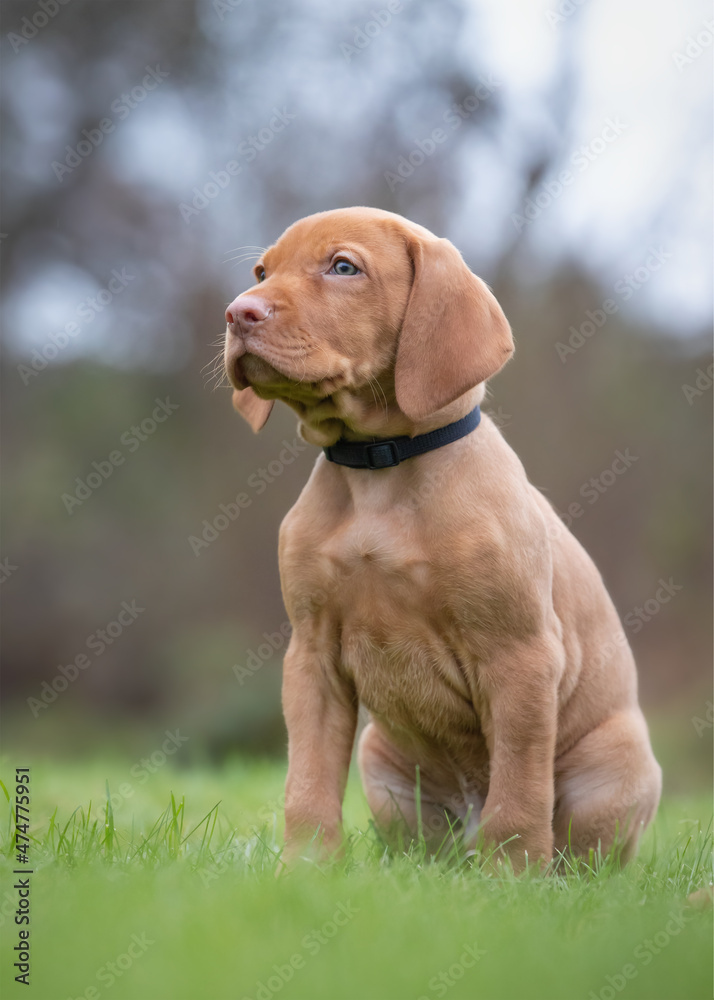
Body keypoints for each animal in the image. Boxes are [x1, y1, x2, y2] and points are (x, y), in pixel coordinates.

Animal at [224, 209, 660, 868]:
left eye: (343, 267)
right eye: (261, 272)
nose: (236, 313)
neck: (378, 470)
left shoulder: (519, 655)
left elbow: (520, 790)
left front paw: (511, 878)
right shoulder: (311, 655)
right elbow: (308, 783)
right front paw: (304, 871)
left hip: (614, 766)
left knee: (579, 853)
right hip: (384, 766)